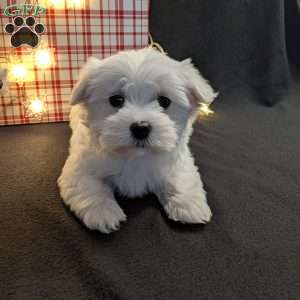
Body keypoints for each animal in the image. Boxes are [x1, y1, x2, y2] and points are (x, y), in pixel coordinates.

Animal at [57, 48, 217, 233]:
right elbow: (89, 187)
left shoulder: (179, 161)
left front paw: (188, 206)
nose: (141, 128)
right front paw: (103, 211)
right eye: (116, 100)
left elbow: (181, 179)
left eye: (164, 101)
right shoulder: (79, 168)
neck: (135, 156)